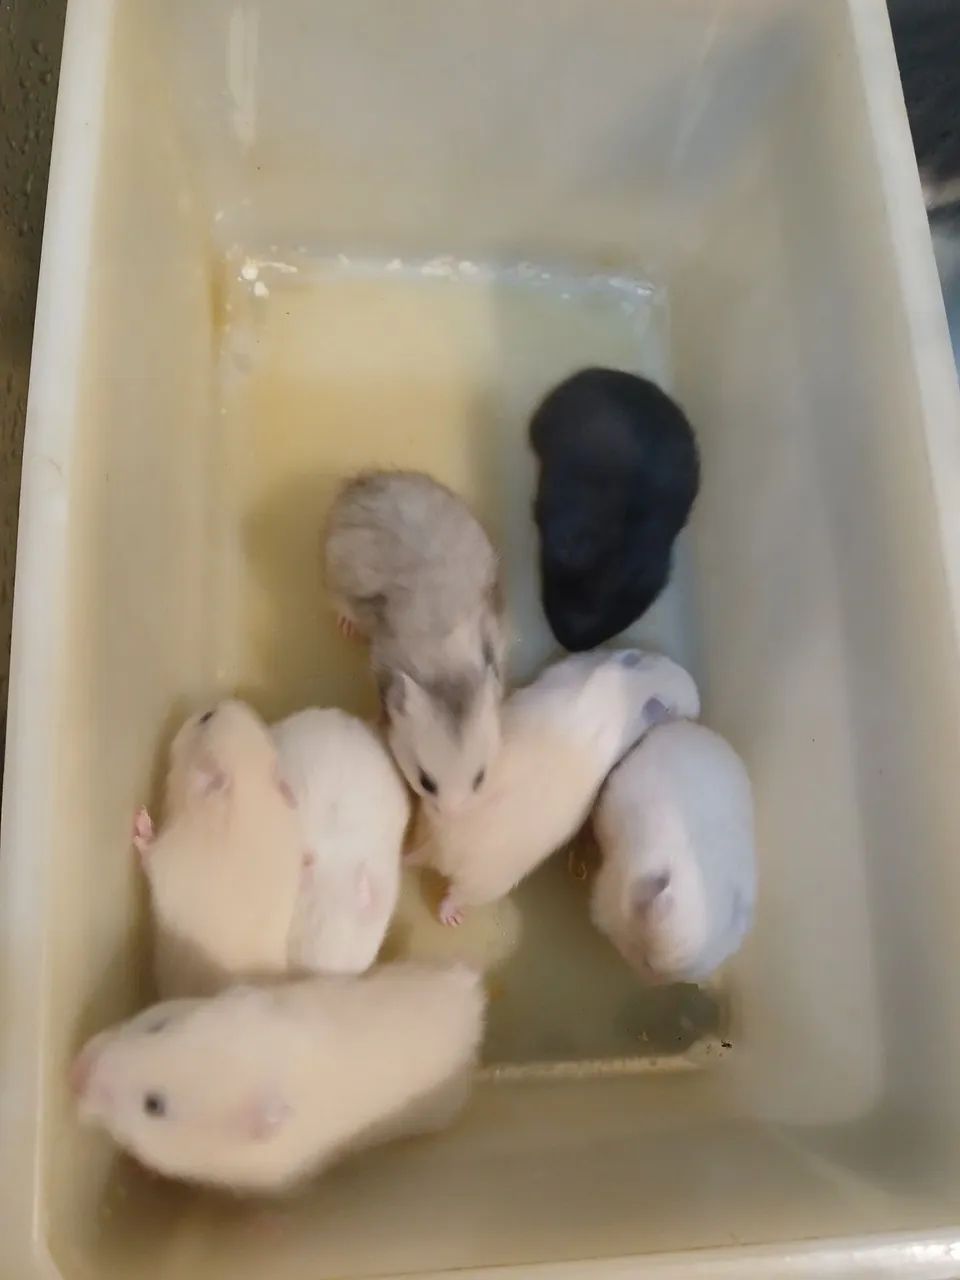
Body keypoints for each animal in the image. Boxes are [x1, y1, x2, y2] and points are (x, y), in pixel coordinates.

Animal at [134, 700, 303, 998]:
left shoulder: (172, 855)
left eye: (206, 717)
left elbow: (149, 855)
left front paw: (141, 821)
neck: (250, 801)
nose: (210, 706)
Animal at [324, 470, 506, 814]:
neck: (446, 665)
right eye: (426, 782)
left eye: (480, 779)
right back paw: (346, 626)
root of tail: (360, 482)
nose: (451, 817)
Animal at [411, 649, 700, 925]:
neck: (637, 685)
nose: (697, 703)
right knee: (454, 897)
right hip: (485, 885)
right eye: (672, 709)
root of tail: (436, 848)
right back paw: (451, 917)